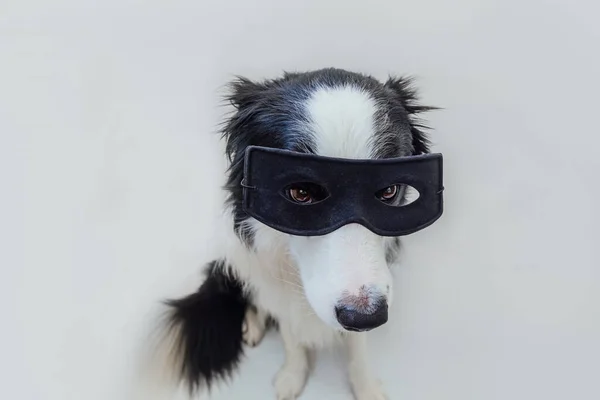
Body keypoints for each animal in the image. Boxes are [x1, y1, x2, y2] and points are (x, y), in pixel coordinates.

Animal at [162, 67, 438, 398]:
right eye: (300, 192)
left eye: (388, 191)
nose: (364, 316)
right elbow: (290, 335)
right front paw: (292, 377)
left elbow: (358, 348)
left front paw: (366, 387)